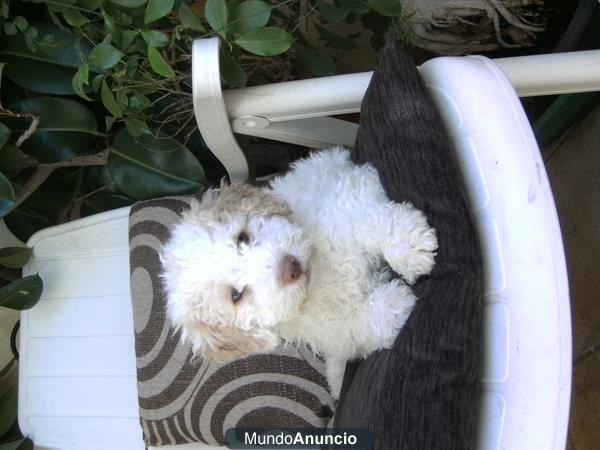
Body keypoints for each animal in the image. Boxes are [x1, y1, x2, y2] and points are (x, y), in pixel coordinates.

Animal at [161, 147, 436, 394]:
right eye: (236, 295)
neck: (319, 271)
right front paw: (396, 304)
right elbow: (359, 323)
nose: (289, 267)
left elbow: (370, 220)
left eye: (242, 238)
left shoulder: (347, 199)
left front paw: (410, 249)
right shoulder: (332, 329)